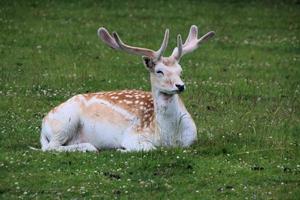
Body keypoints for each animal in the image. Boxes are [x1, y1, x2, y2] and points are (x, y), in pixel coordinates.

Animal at [40, 25, 213, 152]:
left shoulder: (191, 138)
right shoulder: (133, 136)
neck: (169, 137)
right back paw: (91, 147)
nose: (180, 86)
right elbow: (150, 148)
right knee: (50, 147)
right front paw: (121, 149)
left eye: (180, 71)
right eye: (159, 71)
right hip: (65, 122)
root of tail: (43, 124)